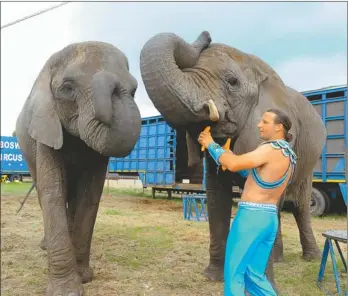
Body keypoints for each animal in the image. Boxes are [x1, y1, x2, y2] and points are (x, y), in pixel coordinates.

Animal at [15, 42, 141, 296]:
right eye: (67, 88)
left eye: (134, 89)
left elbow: (89, 195)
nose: (114, 83)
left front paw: (84, 277)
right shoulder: (45, 125)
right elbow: (53, 190)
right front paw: (67, 291)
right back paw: (45, 246)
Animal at [140, 30, 328, 292]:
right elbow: (216, 195)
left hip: (309, 158)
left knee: (300, 204)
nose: (206, 34)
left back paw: (310, 257)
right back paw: (278, 259)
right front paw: (212, 277)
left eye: (232, 82)